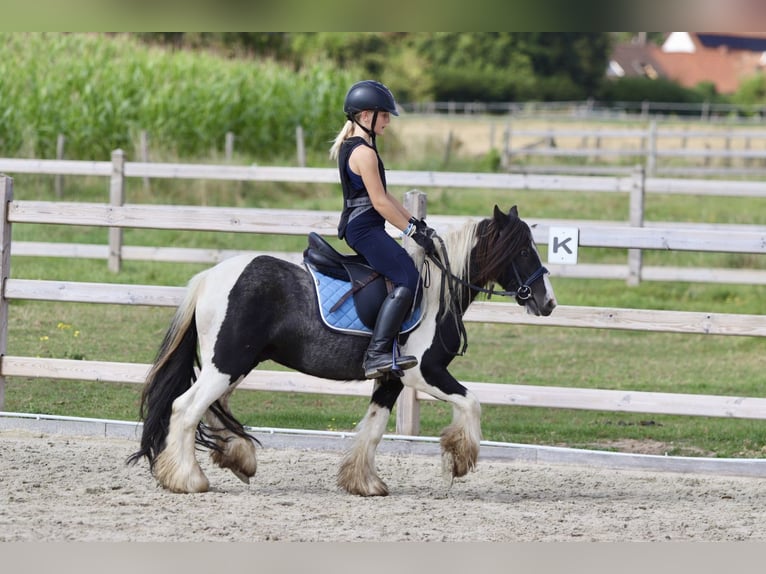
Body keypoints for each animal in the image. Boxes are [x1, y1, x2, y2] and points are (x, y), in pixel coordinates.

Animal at [127, 206, 560, 496]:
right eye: (524, 251)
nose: (548, 302)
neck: (437, 293)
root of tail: (209, 277)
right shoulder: (423, 372)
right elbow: (472, 403)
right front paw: (459, 458)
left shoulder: (391, 377)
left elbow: (373, 428)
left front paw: (363, 482)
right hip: (227, 364)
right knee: (186, 408)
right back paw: (187, 479)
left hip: (236, 364)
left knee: (213, 408)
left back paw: (237, 458)